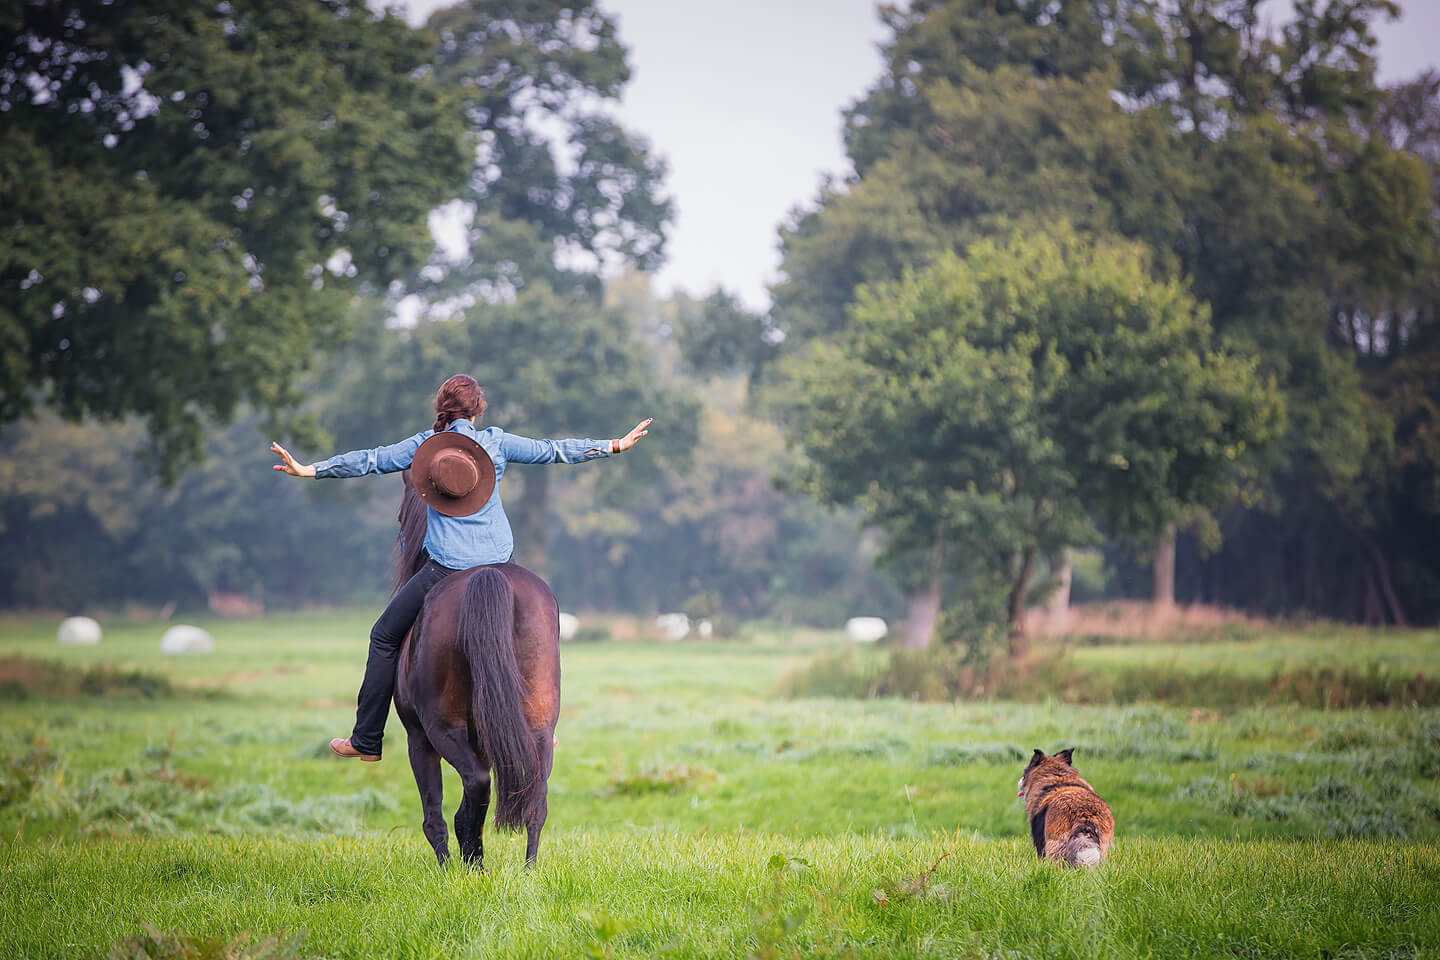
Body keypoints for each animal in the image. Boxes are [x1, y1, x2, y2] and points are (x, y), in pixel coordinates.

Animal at [389, 470, 560, 867]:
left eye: (401, 515)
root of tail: (486, 576)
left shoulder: (417, 737)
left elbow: (433, 812)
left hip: (440, 729)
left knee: (476, 785)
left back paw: (471, 864)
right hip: (539, 728)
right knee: (535, 800)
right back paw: (527, 870)